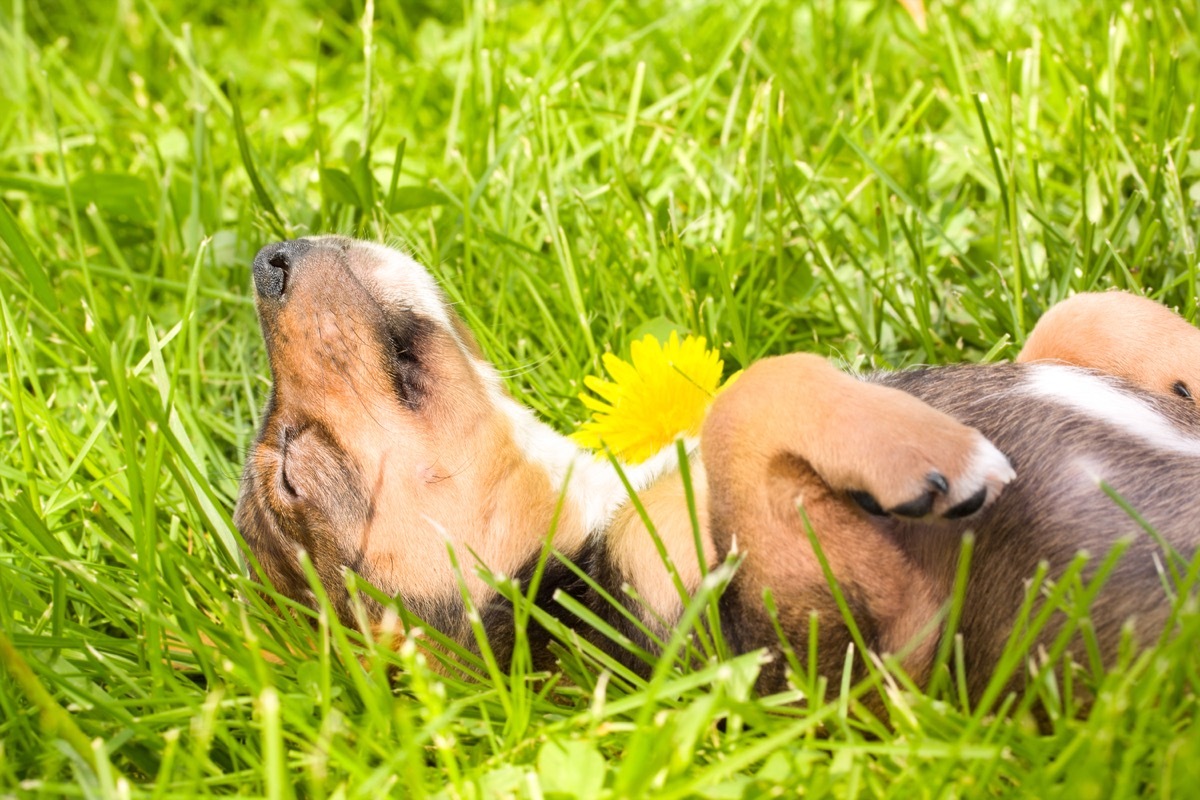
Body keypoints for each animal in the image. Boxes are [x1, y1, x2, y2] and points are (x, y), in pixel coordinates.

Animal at [231, 236, 1200, 700]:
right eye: (292, 479)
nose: (268, 260)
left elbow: (1087, 310)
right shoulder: (850, 640)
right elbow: (750, 396)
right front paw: (932, 452)